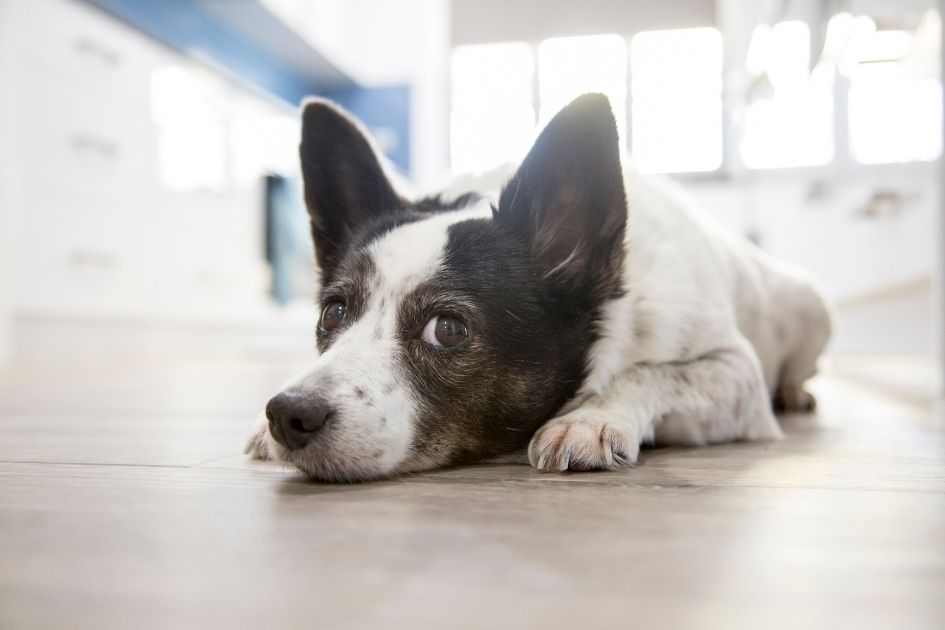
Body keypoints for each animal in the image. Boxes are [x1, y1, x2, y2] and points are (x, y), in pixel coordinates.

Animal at [245, 91, 832, 482]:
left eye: (448, 329)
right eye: (333, 312)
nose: (287, 414)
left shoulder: (736, 376)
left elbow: (651, 372)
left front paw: (591, 417)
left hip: (812, 311)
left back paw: (795, 392)